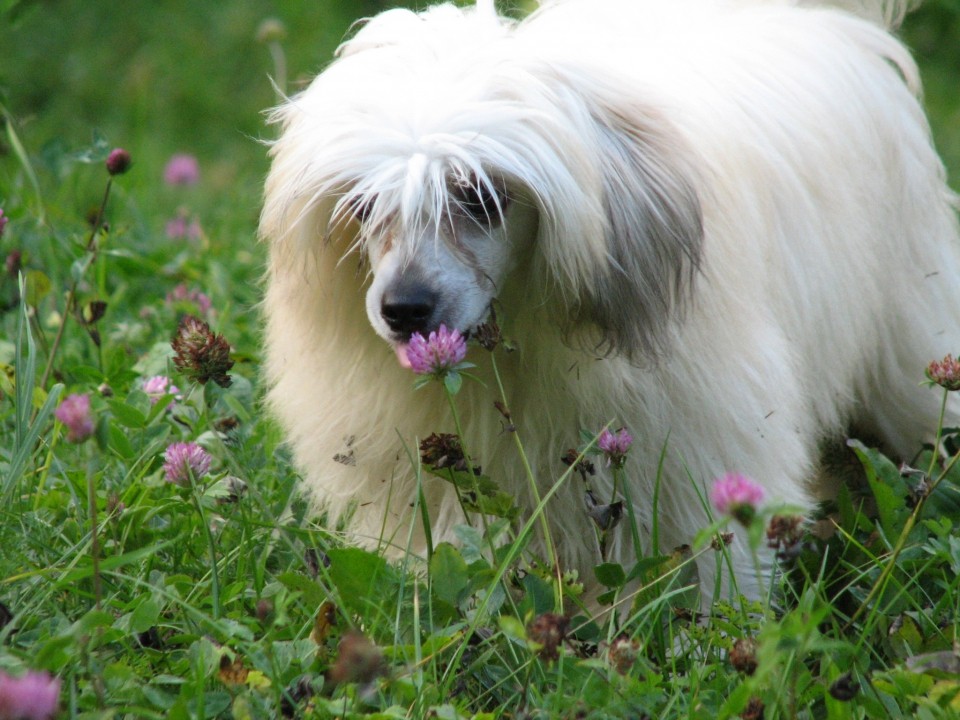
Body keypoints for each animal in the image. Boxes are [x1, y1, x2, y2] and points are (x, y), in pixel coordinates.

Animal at [258, 0, 960, 600]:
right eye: (363, 205)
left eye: (482, 197)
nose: (404, 310)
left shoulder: (701, 447)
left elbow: (714, 567)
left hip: (910, 362)